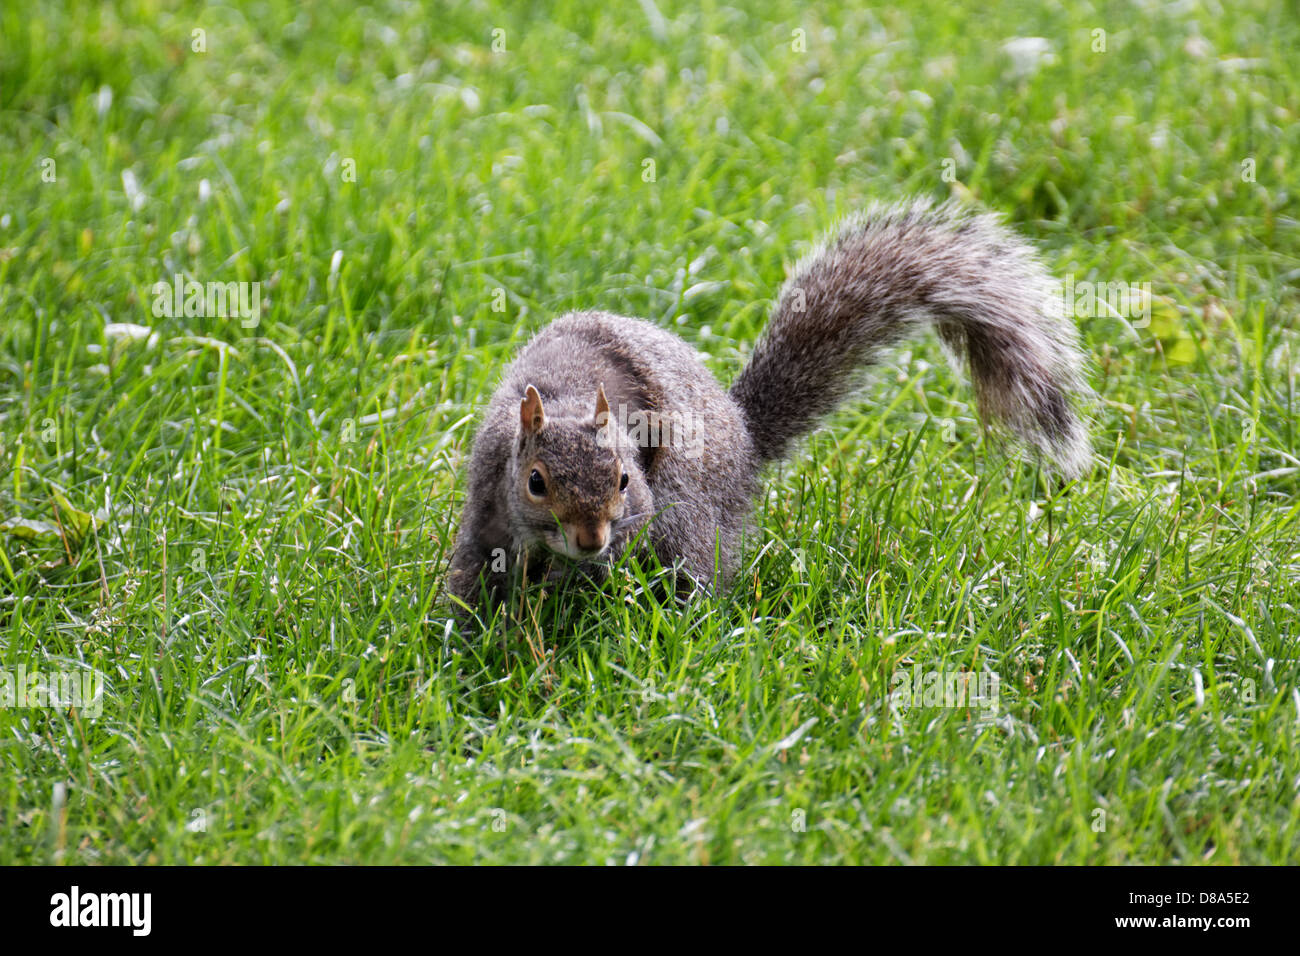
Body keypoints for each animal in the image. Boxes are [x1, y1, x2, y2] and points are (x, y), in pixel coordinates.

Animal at [446, 198, 1091, 619]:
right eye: (535, 482)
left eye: (625, 479)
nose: (589, 540)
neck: (568, 396)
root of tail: (746, 441)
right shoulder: (488, 499)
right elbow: (473, 568)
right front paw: (467, 629)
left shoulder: (641, 511)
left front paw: (558, 592)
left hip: (687, 515)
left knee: (695, 570)